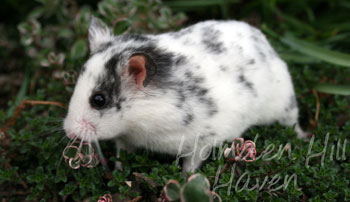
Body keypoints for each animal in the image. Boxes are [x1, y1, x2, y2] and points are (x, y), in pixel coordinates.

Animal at [63, 17, 306, 172]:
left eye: (99, 100)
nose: (68, 131)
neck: (138, 123)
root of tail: (265, 43)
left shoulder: (201, 142)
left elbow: (191, 165)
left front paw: (184, 181)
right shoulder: (125, 140)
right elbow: (123, 157)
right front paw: (119, 173)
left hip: (285, 104)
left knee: (293, 123)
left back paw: (303, 138)